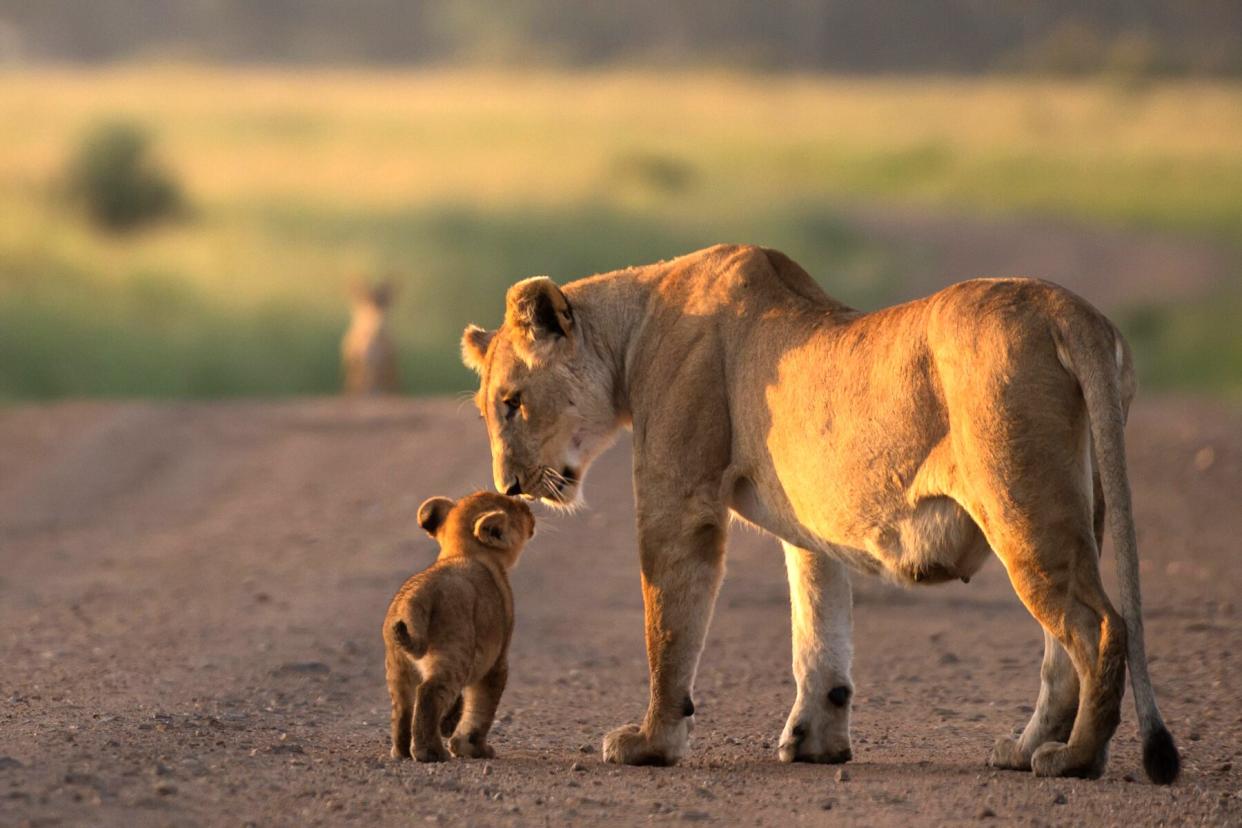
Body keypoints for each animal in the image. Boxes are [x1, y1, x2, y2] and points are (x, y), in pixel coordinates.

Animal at [380, 491, 531, 764]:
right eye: (516, 509)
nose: (525, 503)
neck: (462, 550)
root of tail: (415, 597)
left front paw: (450, 726)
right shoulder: (496, 660)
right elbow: (482, 706)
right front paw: (472, 747)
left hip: (397, 664)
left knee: (403, 707)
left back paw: (401, 751)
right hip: (454, 651)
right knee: (429, 693)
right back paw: (430, 752)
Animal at [462, 244, 1177, 784]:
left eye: (511, 402)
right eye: (487, 409)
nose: (509, 484)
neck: (632, 332)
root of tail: (1068, 310)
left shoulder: (679, 500)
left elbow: (667, 624)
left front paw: (650, 743)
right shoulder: (811, 529)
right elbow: (818, 629)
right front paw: (816, 742)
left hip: (1021, 506)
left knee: (1100, 628)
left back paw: (1076, 759)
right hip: (1077, 510)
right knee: (1063, 648)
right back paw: (1025, 750)